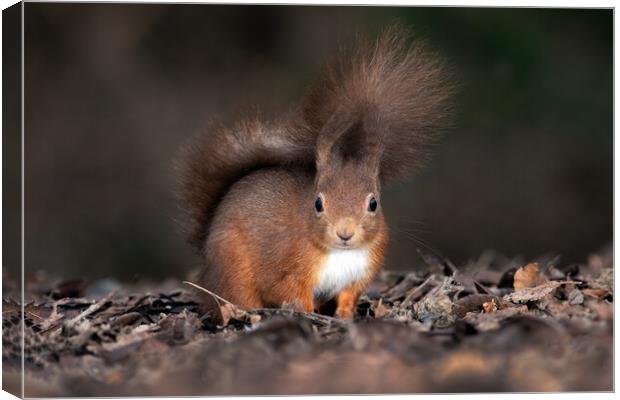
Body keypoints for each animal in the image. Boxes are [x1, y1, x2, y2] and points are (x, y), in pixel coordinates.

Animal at [177, 25, 452, 318]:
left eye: (374, 204)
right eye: (318, 203)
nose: (345, 233)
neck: (340, 253)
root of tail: (207, 266)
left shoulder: (358, 276)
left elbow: (348, 297)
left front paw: (345, 316)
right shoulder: (286, 269)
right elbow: (289, 291)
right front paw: (307, 313)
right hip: (234, 271)